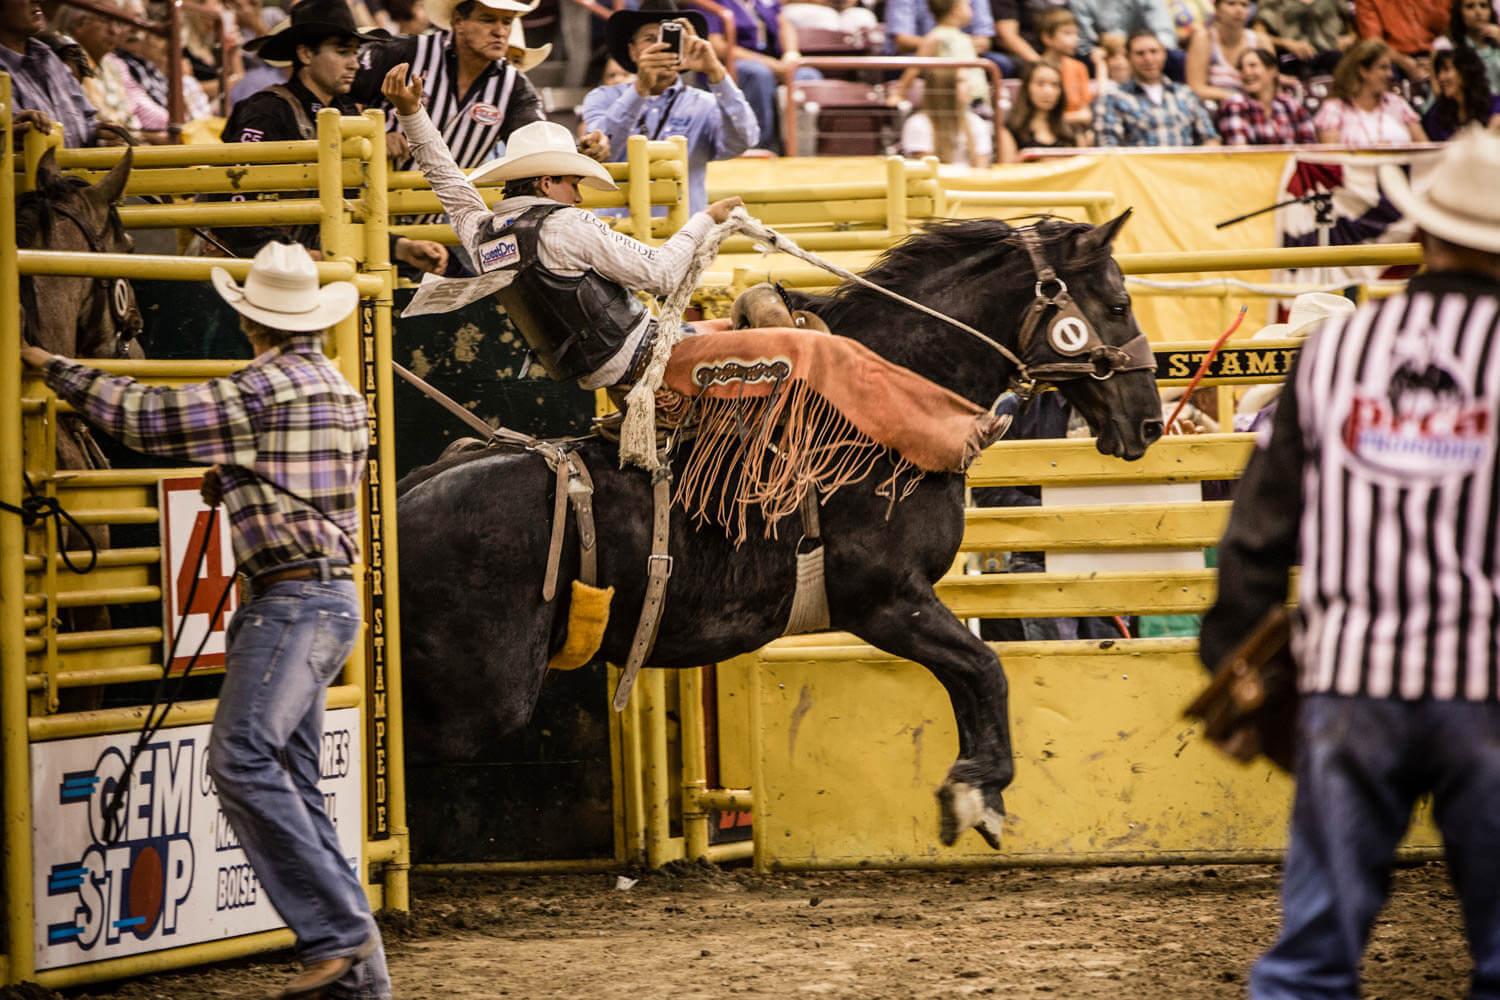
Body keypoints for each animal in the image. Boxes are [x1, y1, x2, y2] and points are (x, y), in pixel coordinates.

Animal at [396, 212, 1158, 851]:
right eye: (1118, 305)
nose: (1149, 421)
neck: (884, 414)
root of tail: (404, 503)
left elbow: (971, 680)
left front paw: (980, 796)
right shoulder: (884, 600)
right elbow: (984, 670)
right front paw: (976, 790)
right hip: (482, 696)